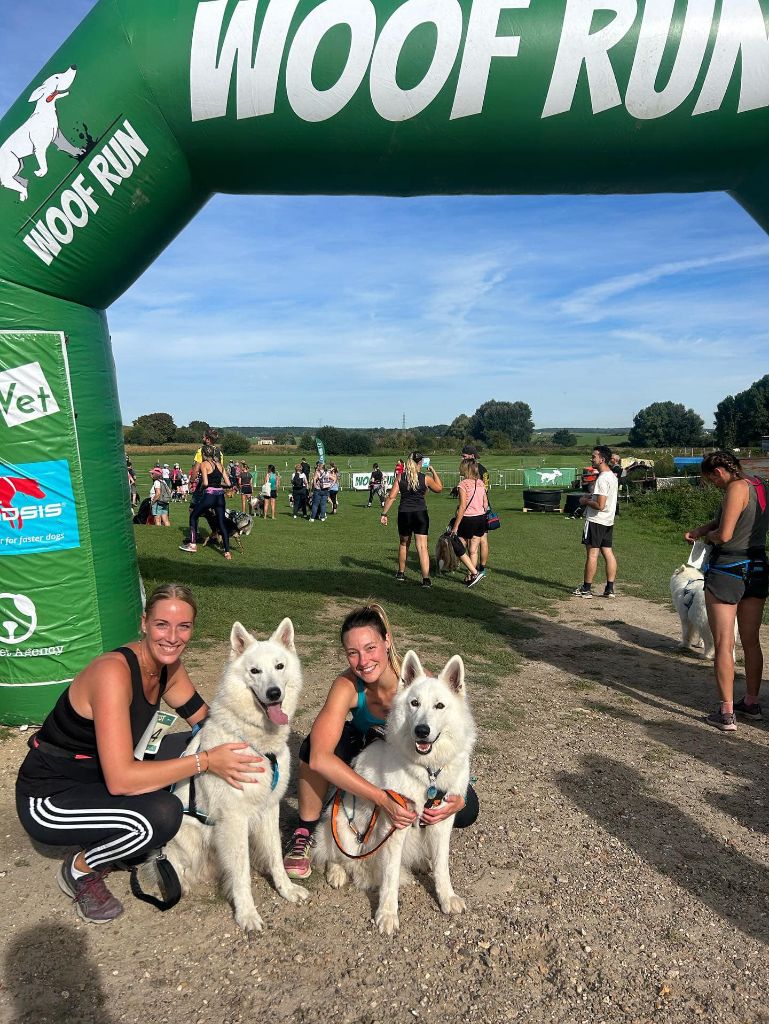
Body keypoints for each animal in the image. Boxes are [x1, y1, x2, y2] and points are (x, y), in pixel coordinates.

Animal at [0, 66, 83, 201]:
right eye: (57, 77)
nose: (73, 66)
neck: (45, 112)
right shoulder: (39, 148)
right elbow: (43, 162)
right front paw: (41, 173)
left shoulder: (57, 135)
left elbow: (67, 146)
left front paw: (79, 152)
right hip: (12, 165)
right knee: (9, 181)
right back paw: (24, 193)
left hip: (19, 164)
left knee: (17, 180)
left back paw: (23, 188)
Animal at [166, 618, 309, 933]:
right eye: (255, 671)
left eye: (279, 666)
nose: (274, 693)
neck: (257, 743)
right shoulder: (234, 819)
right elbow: (241, 873)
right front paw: (247, 914)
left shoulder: (269, 808)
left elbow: (276, 856)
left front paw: (286, 889)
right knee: (170, 863)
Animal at [313, 647, 475, 937]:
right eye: (414, 703)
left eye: (439, 706)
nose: (422, 730)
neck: (428, 772)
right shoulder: (394, 824)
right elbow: (389, 877)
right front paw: (387, 914)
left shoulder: (442, 820)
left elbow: (442, 866)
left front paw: (446, 897)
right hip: (340, 825)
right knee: (334, 853)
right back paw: (337, 873)